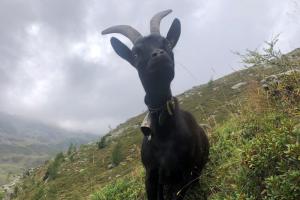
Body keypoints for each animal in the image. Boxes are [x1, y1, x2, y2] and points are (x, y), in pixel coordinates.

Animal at [102, 9, 209, 200]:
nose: (159, 54)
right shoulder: (151, 174)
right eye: (136, 53)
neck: (164, 133)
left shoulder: (184, 174)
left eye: (167, 43)